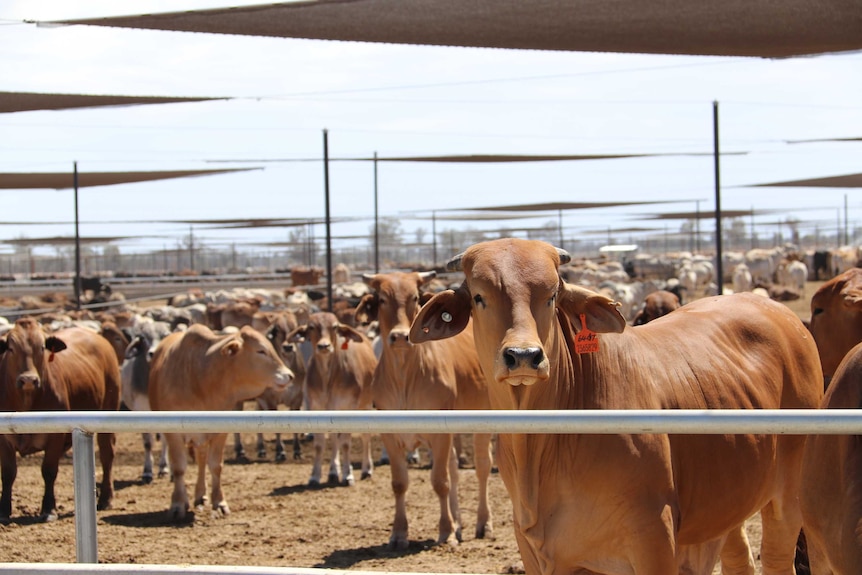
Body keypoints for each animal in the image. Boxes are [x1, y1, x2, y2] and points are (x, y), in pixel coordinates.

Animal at [0, 318, 121, 524]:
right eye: (10, 348)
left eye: (41, 347)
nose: (28, 380)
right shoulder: (4, 439)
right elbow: (8, 473)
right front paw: (4, 512)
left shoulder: (55, 435)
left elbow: (49, 471)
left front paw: (49, 509)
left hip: (109, 411)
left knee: (107, 455)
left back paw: (106, 498)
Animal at [148, 324, 294, 520]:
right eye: (260, 351)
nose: (290, 375)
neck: (199, 379)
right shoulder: (173, 434)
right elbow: (179, 468)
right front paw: (178, 504)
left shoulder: (220, 431)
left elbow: (215, 466)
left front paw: (219, 502)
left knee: (202, 459)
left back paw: (200, 495)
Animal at [286, 312, 374, 488]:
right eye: (311, 327)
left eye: (334, 327)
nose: (324, 346)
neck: (328, 377)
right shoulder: (317, 409)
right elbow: (320, 444)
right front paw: (315, 476)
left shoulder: (348, 409)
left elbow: (346, 443)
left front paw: (348, 475)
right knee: (334, 439)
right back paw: (333, 472)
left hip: (366, 406)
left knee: (365, 437)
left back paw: (366, 469)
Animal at [356, 272, 492, 552]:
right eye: (382, 299)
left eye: (415, 298)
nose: (399, 336)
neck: (404, 378)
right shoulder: (390, 436)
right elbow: (399, 483)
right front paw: (398, 534)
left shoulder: (440, 435)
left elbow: (440, 481)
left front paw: (446, 532)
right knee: (454, 467)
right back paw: (459, 523)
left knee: (483, 466)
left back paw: (483, 523)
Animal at [416, 238, 828, 575]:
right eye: (479, 297)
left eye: (551, 296)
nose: (524, 356)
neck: (542, 450)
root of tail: (784, 315)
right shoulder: (538, 552)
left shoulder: (654, 540)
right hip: (727, 504)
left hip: (788, 497)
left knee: (780, 558)